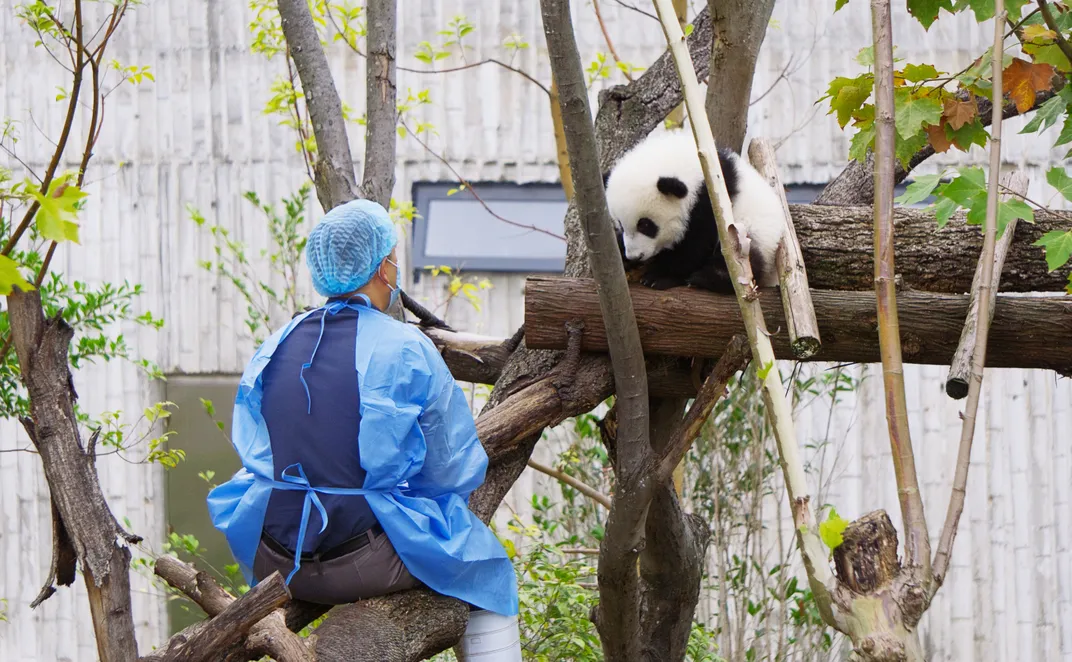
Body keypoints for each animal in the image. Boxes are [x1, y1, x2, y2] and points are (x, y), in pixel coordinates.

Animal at [603, 129, 786, 295]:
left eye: (645, 225)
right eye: (620, 224)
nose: (634, 256)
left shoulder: (710, 202)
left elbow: (695, 245)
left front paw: (658, 277)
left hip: (756, 237)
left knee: (745, 261)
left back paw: (707, 278)